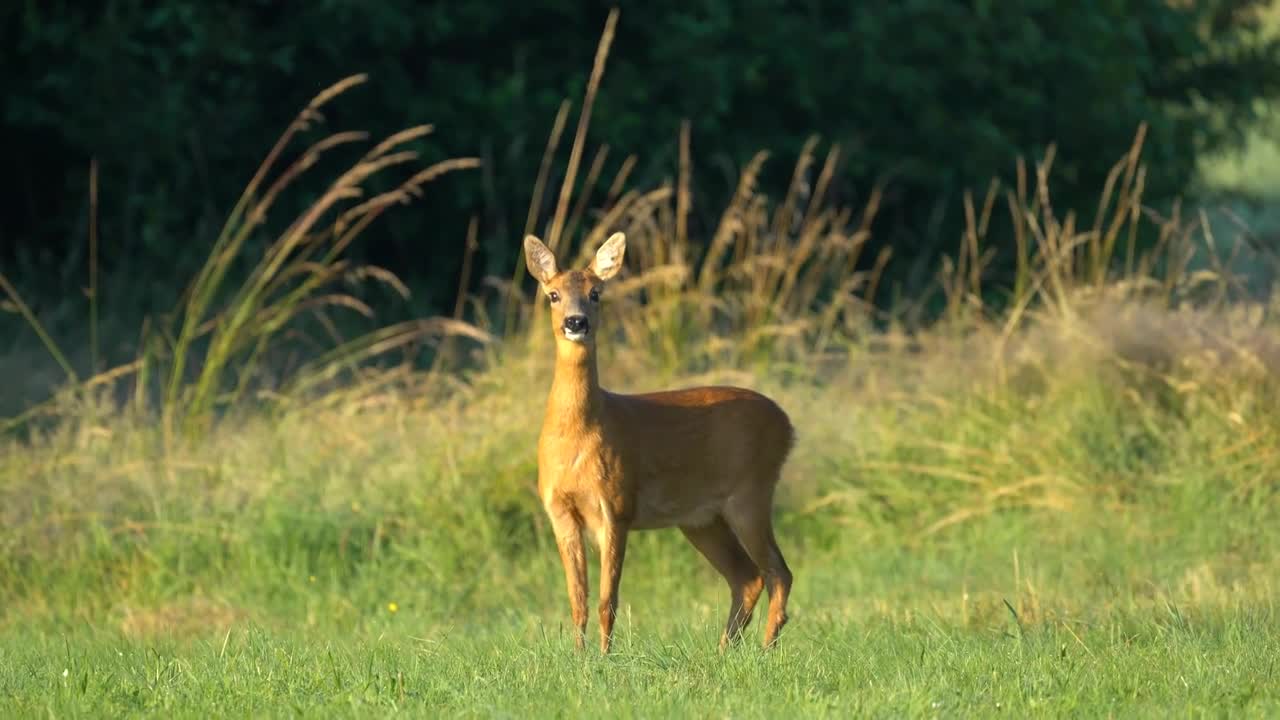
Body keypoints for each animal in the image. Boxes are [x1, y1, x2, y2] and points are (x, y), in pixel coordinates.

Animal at [524, 230, 793, 650]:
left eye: (596, 292)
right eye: (553, 294)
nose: (575, 321)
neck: (578, 436)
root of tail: (787, 424)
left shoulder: (616, 505)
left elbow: (608, 601)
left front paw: (604, 657)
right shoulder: (559, 509)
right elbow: (577, 600)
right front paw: (579, 656)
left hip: (751, 491)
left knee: (779, 572)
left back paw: (765, 651)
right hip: (701, 518)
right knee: (748, 576)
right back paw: (724, 652)